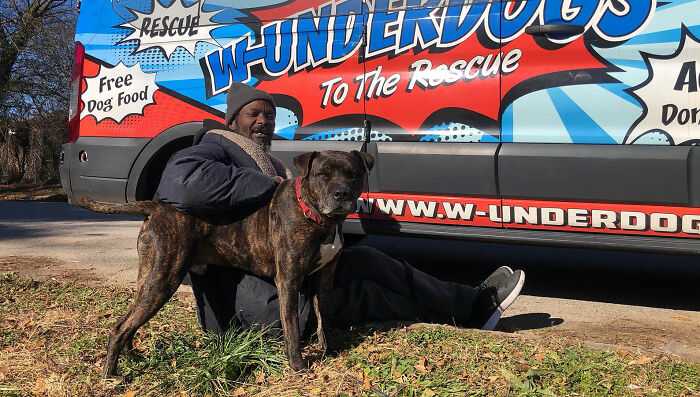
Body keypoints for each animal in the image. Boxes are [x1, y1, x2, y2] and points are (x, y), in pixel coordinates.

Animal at [79, 150, 374, 376]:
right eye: (323, 174)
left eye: (353, 174)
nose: (341, 193)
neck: (317, 217)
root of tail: (157, 206)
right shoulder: (289, 282)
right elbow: (291, 327)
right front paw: (298, 366)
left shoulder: (323, 281)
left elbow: (325, 318)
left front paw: (329, 350)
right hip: (162, 279)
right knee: (120, 327)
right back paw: (111, 375)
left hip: (149, 279)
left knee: (129, 321)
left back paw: (133, 358)